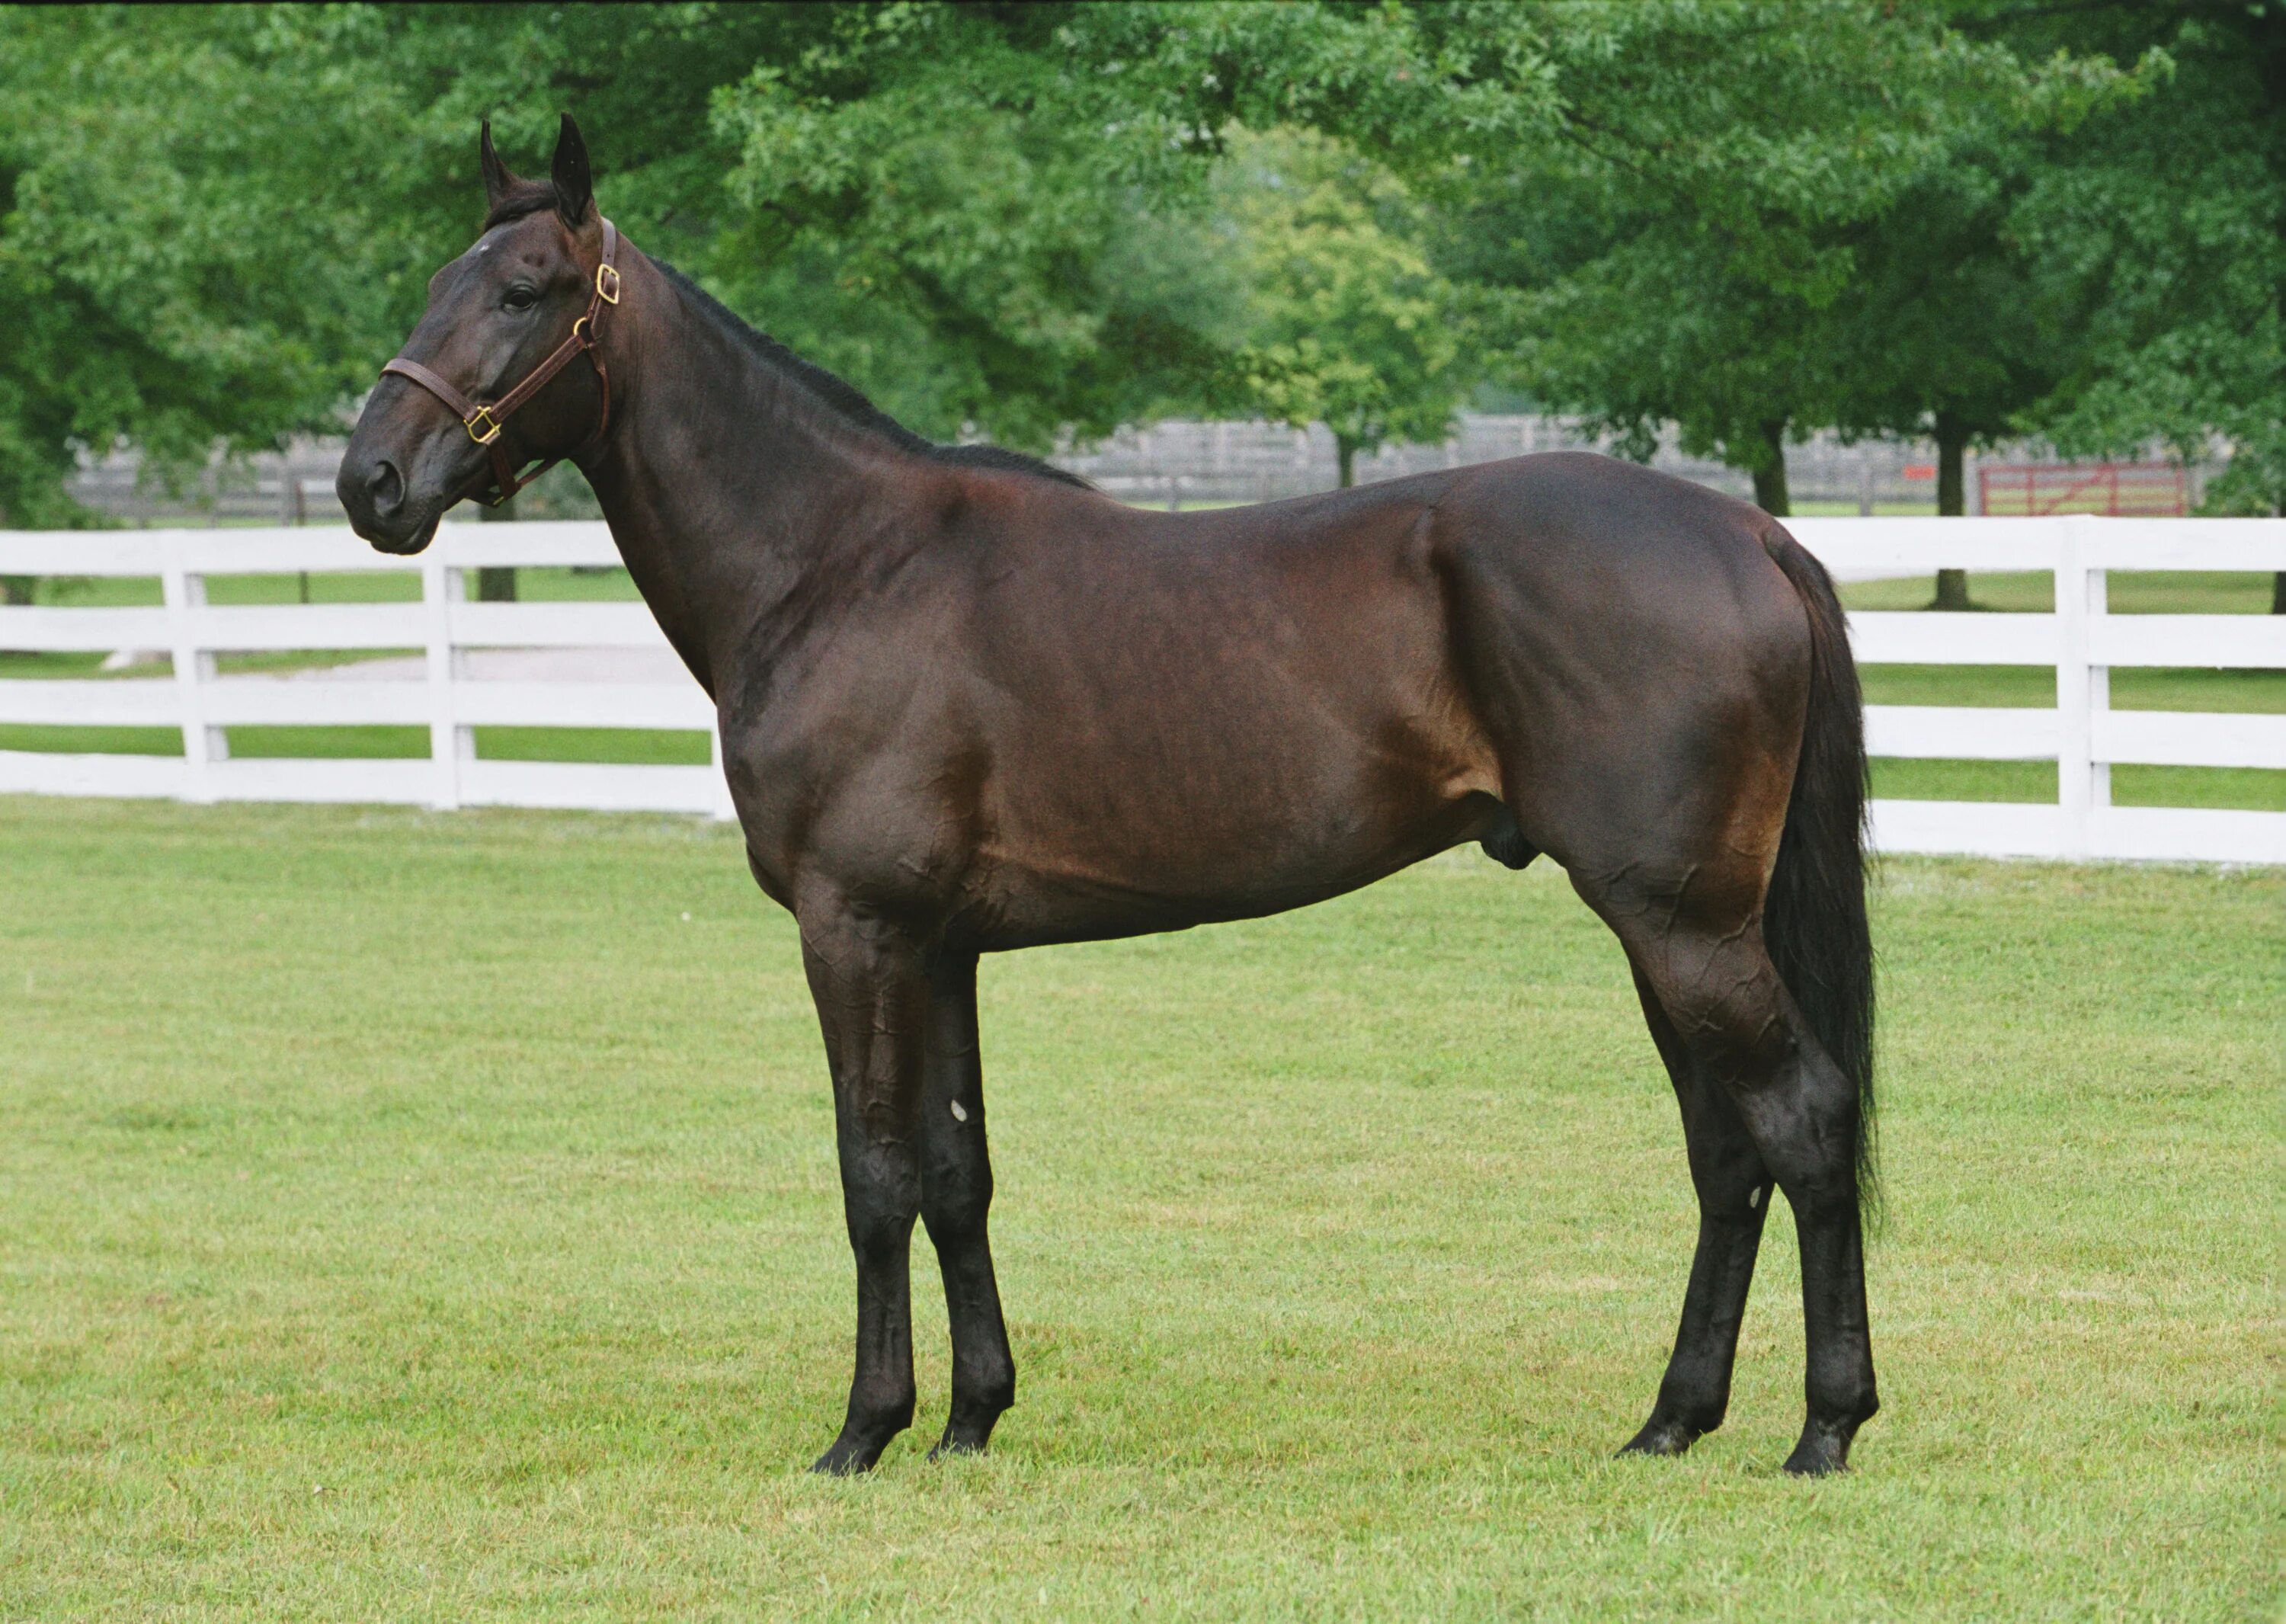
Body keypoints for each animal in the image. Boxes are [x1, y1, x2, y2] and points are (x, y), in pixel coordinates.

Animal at [334, 120, 1875, 1481]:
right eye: (435, 282)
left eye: (524, 290)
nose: (371, 481)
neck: (838, 563)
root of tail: (1748, 530)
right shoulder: (939, 945)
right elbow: (956, 1172)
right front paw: (970, 1419)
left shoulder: (854, 928)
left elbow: (873, 1175)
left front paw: (863, 1430)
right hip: (1667, 932)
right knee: (1727, 1153)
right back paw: (1672, 1420)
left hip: (1681, 924)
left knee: (1802, 1121)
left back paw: (1824, 1426)